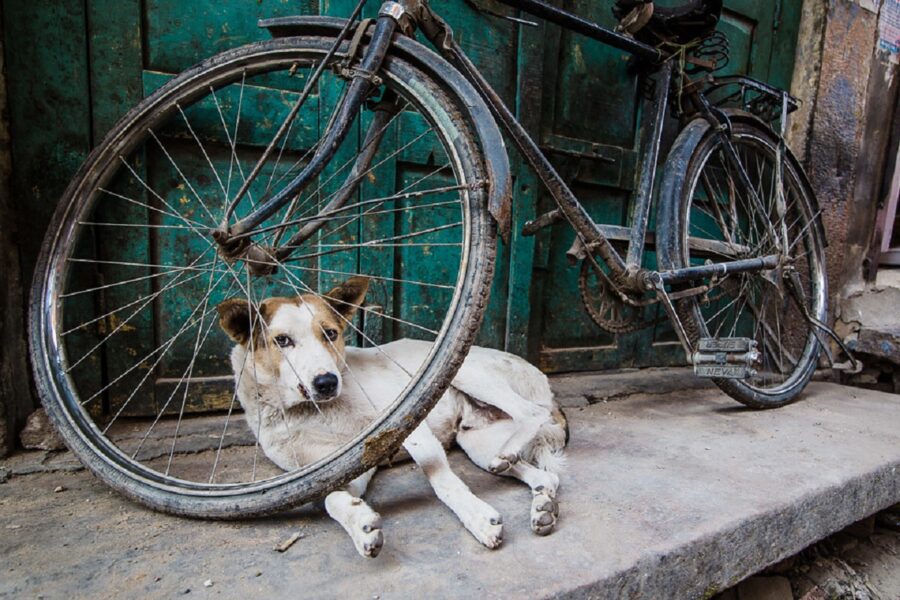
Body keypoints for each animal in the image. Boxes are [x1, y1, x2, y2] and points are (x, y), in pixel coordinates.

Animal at [218, 276, 568, 556]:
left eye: (330, 334)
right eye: (282, 340)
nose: (327, 382)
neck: (317, 413)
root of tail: (547, 388)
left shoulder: (411, 430)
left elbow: (443, 482)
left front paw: (478, 517)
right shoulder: (340, 473)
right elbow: (332, 500)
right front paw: (361, 525)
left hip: (469, 373)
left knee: (531, 413)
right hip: (478, 443)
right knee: (545, 477)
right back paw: (541, 505)